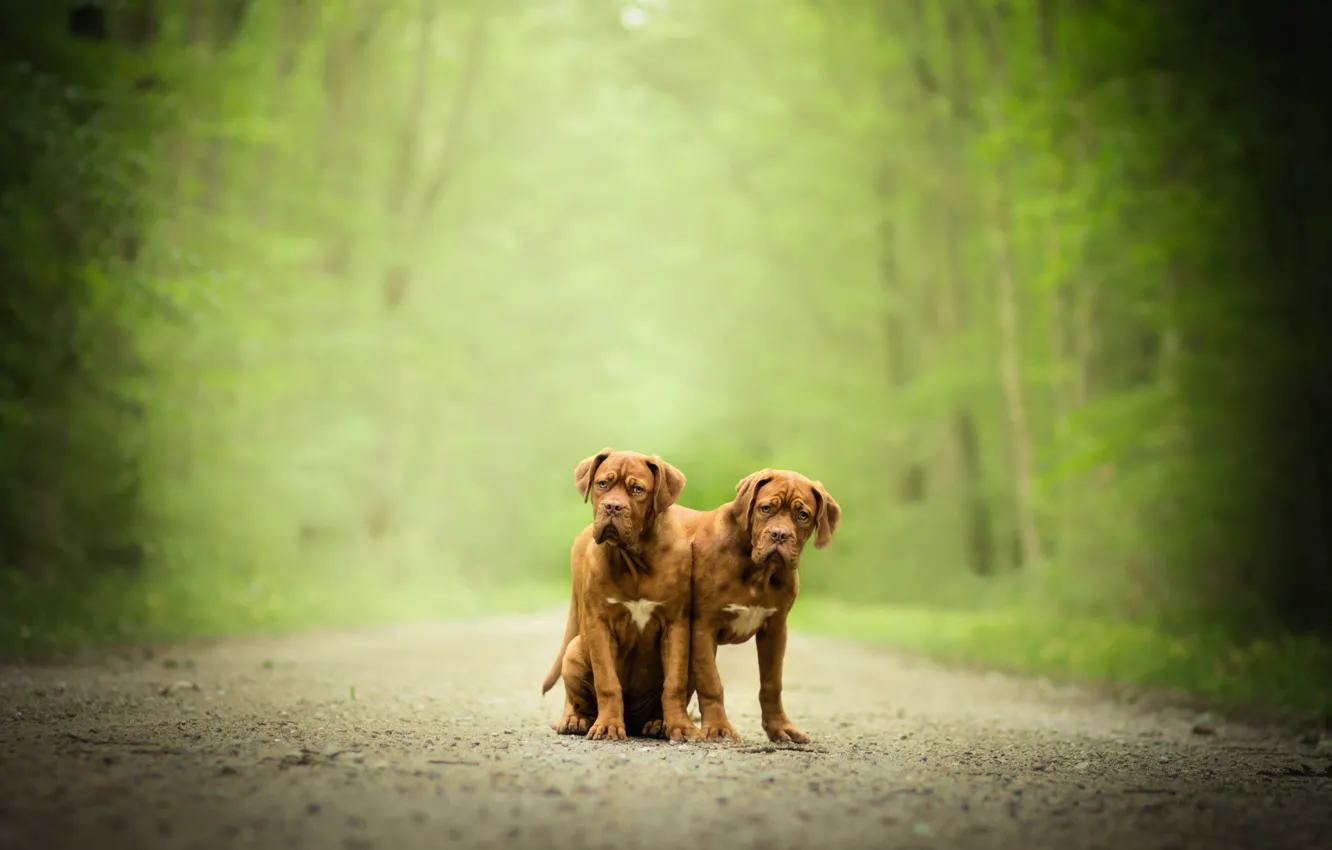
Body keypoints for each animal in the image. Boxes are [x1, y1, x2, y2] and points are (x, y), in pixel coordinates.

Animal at [538, 450, 703, 740]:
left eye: (637, 490)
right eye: (603, 484)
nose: (613, 507)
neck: (634, 560)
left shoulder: (675, 625)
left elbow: (673, 684)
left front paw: (680, 727)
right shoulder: (599, 625)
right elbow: (607, 682)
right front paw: (607, 725)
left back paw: (658, 723)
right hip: (574, 649)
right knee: (577, 696)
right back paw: (574, 719)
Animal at [676, 474, 841, 746]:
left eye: (803, 515)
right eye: (765, 509)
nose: (779, 534)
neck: (758, 571)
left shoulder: (775, 629)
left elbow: (772, 684)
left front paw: (780, 727)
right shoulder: (703, 626)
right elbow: (711, 681)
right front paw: (719, 727)